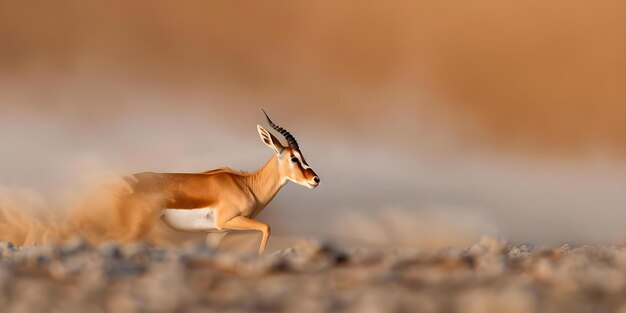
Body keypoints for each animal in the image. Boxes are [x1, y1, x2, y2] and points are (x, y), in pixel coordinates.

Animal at [120, 111, 320, 252]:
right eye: (294, 158)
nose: (315, 179)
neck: (247, 185)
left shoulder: (217, 233)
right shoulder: (228, 221)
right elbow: (266, 228)